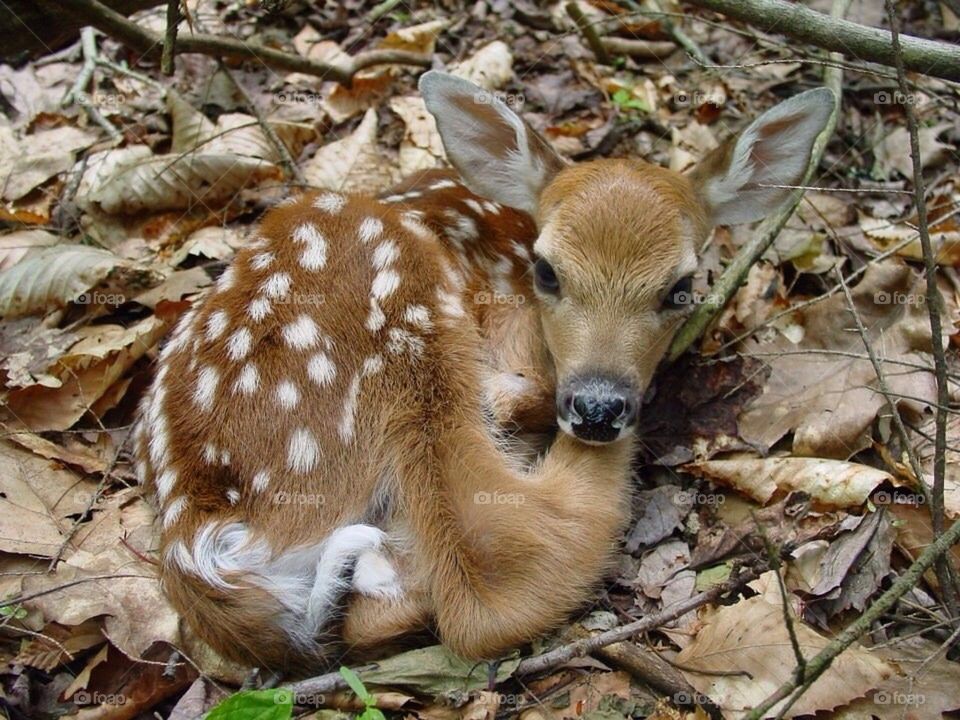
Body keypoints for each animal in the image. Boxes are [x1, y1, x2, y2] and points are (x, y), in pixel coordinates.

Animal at [135, 70, 835, 672]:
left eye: (681, 287)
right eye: (547, 271)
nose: (598, 408)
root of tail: (197, 539)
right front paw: (515, 399)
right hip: (405, 315)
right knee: (486, 586)